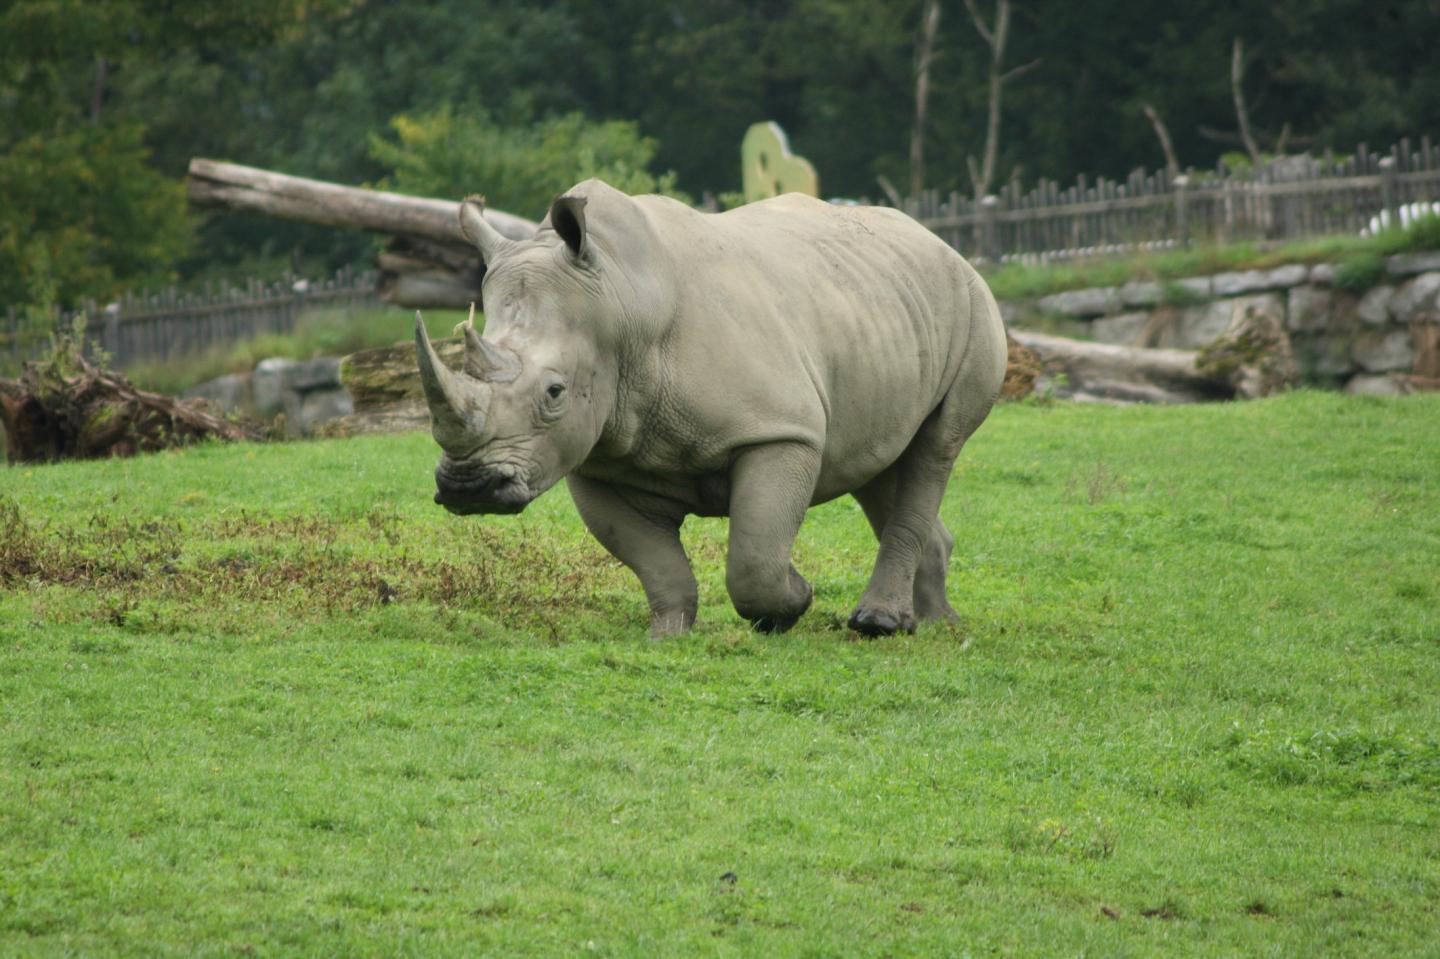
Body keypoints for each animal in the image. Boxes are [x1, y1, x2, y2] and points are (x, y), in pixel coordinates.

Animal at [414, 179, 1007, 638]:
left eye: (555, 392)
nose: (469, 487)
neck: (620, 301)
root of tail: (940, 242)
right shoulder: (596, 458)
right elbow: (655, 563)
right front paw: (667, 635)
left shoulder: (779, 431)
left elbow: (755, 556)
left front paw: (791, 604)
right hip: (882, 309)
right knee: (881, 460)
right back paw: (934, 623)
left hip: (972, 304)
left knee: (936, 448)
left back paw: (879, 626)